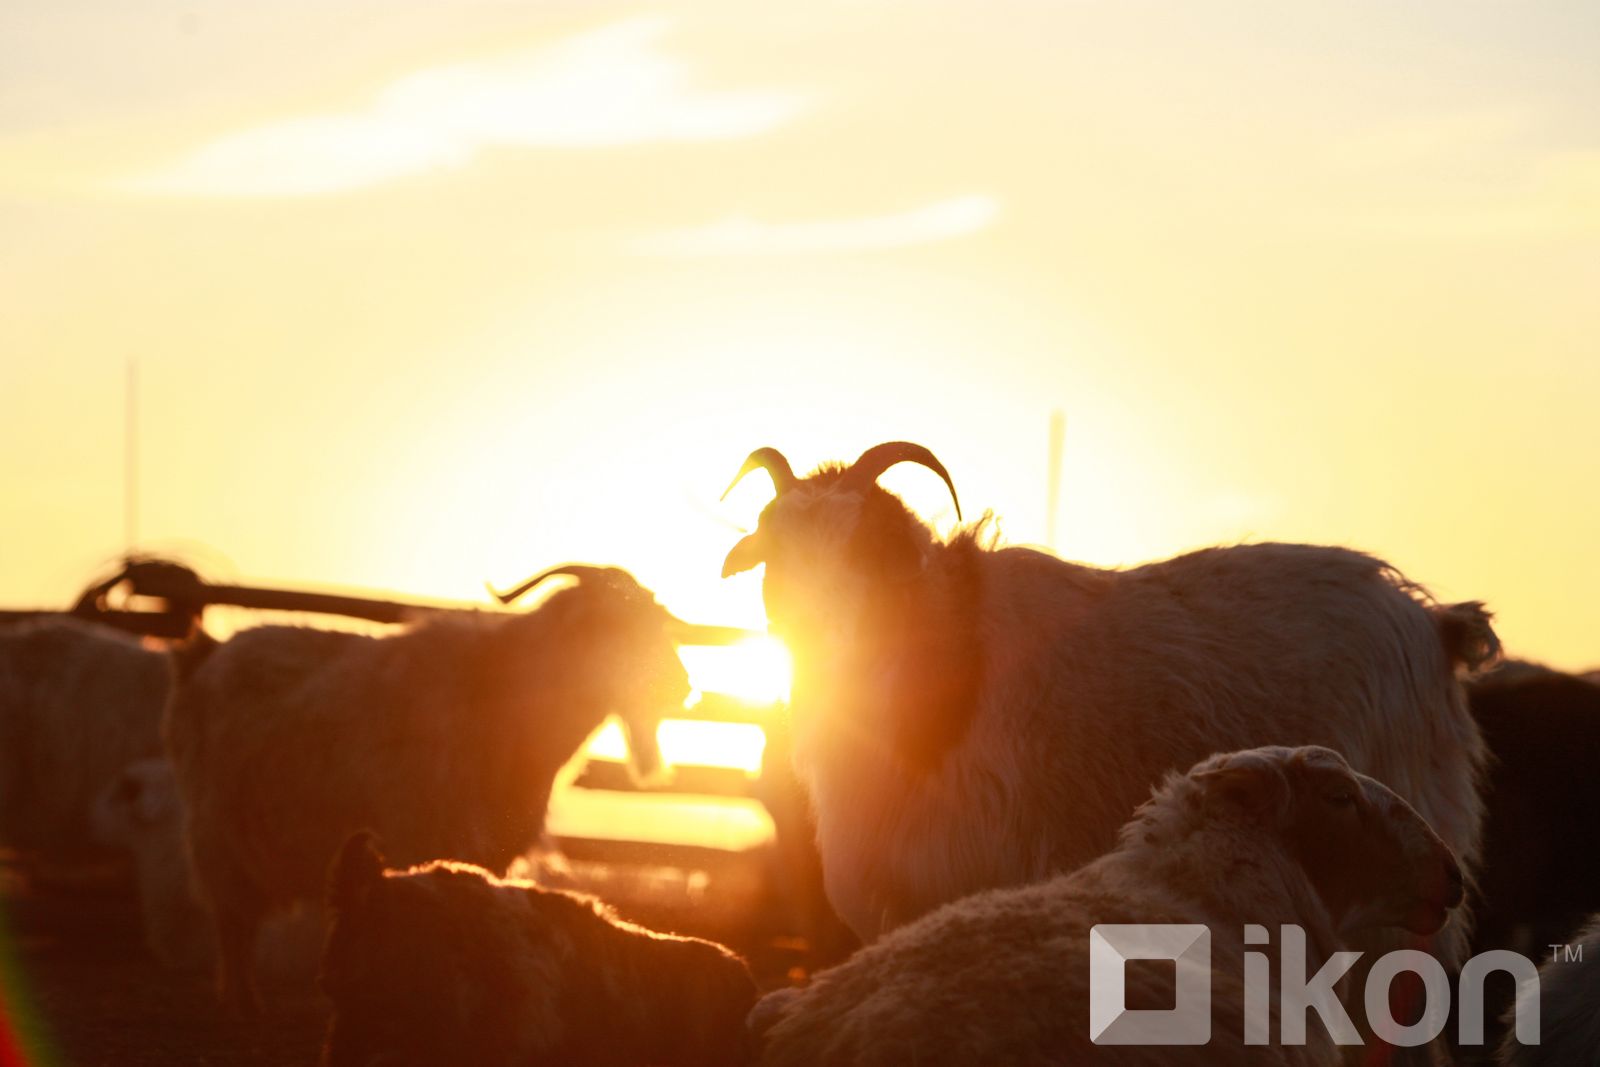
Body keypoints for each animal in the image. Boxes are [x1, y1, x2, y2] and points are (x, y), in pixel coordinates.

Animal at [165, 563, 691, 1017]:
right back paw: (243, 1002)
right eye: (615, 622)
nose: (679, 687)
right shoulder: (427, 835)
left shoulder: (489, 850)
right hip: (219, 837)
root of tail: (206, 656)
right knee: (233, 924)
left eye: (655, 619)